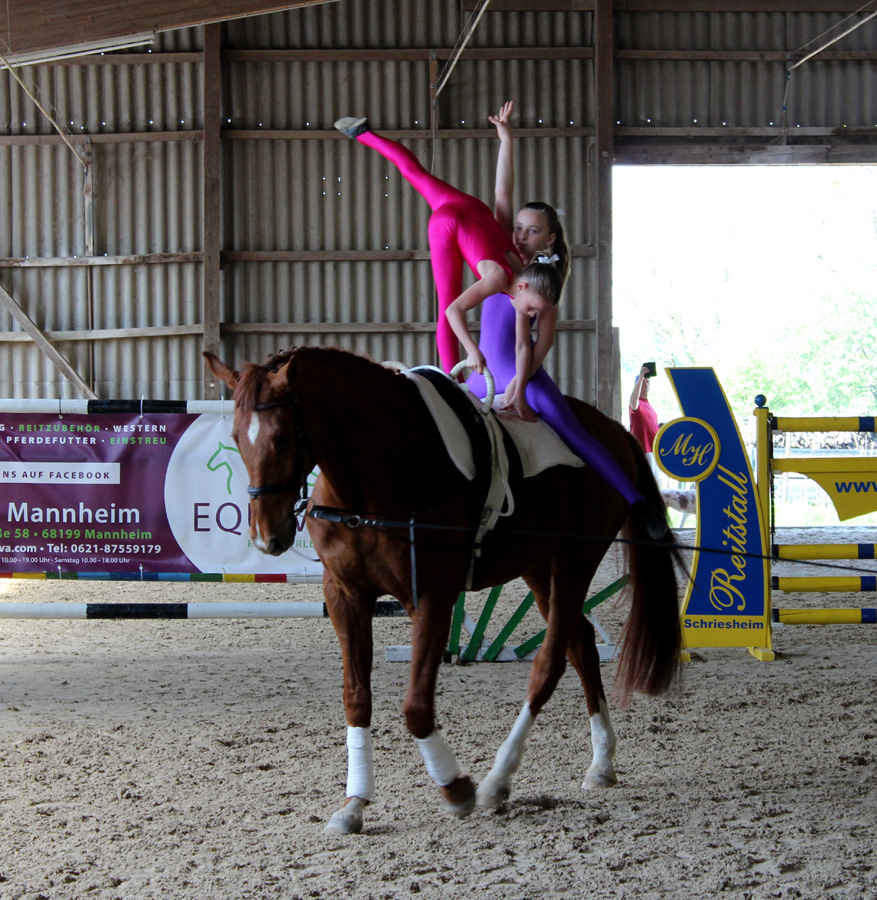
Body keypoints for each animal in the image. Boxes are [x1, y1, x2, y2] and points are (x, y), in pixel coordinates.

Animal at [202, 348, 680, 832]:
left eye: (282, 436)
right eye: (237, 437)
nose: (267, 538)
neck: (372, 481)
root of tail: (614, 432)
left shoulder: (430, 596)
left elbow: (415, 707)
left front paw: (456, 788)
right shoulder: (344, 595)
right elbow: (356, 698)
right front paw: (354, 803)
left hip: (574, 559)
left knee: (550, 662)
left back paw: (498, 780)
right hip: (537, 565)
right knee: (580, 644)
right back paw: (601, 762)